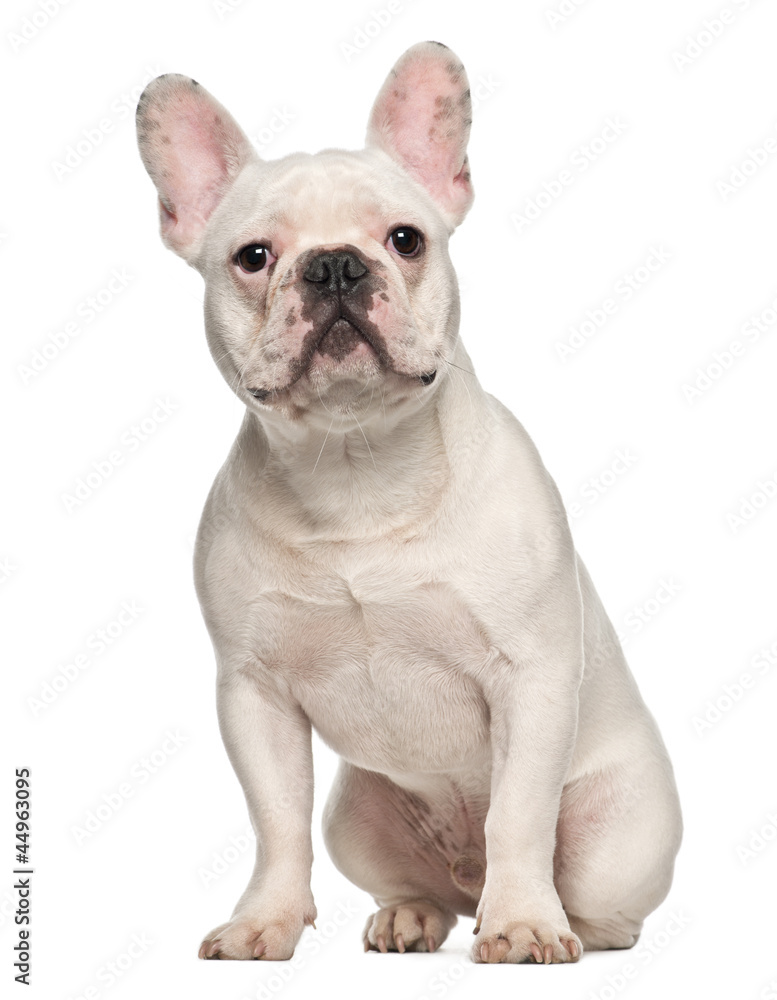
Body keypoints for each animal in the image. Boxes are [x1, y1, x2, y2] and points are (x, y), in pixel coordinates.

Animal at [138, 43, 680, 964]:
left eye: (405, 240)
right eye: (253, 256)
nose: (333, 263)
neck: (356, 468)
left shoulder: (528, 679)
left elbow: (519, 815)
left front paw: (523, 923)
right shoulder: (254, 694)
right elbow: (273, 820)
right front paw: (264, 921)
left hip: (622, 836)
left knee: (592, 894)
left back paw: (560, 921)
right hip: (354, 815)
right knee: (412, 883)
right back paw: (412, 916)